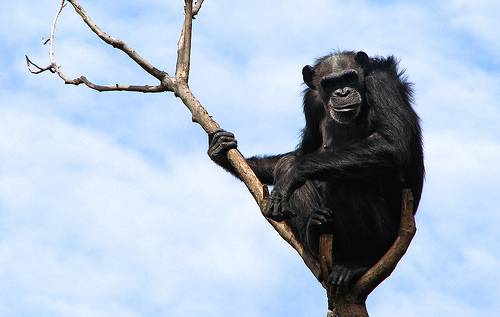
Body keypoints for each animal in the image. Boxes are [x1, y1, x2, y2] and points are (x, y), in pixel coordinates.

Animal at [209, 51, 424, 292]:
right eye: (329, 83)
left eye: (349, 77)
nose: (342, 92)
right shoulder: (310, 103)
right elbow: (304, 151)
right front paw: (224, 152)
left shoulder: (381, 83)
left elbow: (392, 143)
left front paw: (292, 173)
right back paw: (314, 229)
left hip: (390, 237)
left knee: (345, 184)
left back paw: (358, 263)